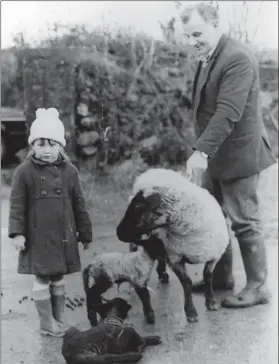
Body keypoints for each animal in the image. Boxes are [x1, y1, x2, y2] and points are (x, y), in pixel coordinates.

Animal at [116, 168, 230, 324]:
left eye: (138, 206)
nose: (118, 232)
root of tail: (154, 169)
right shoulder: (175, 257)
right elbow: (187, 283)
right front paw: (191, 312)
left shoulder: (214, 255)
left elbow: (208, 276)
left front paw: (211, 302)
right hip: (140, 242)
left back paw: (163, 275)